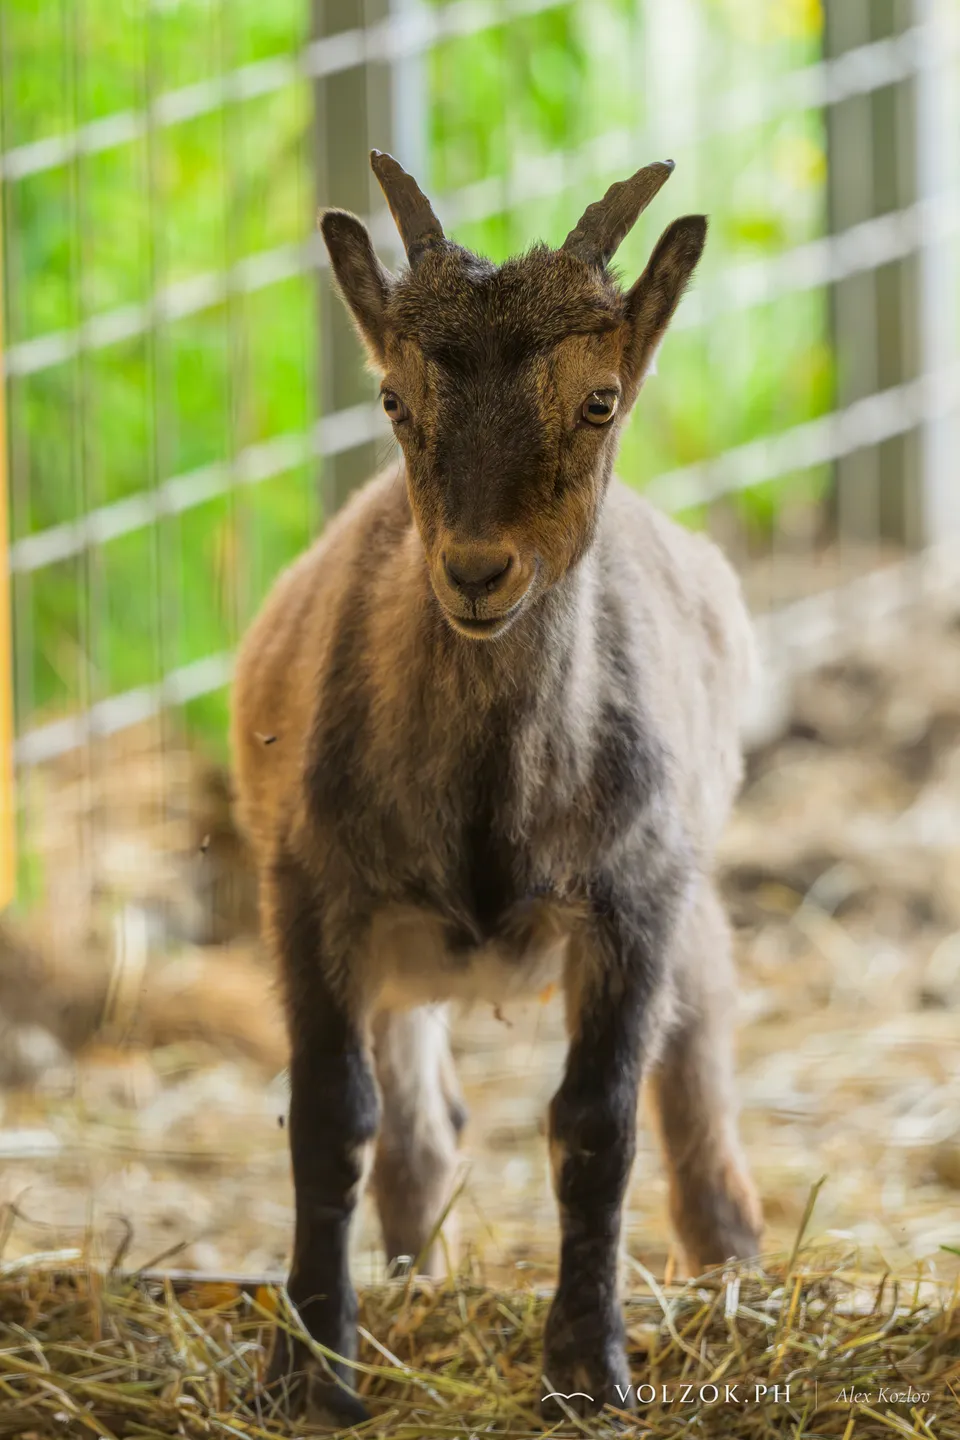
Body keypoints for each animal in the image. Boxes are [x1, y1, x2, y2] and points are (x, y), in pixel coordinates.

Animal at [230, 150, 763, 1425]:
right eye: (393, 400)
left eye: (600, 397)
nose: (477, 572)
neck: (487, 817)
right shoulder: (312, 887)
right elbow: (332, 1118)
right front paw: (313, 1367)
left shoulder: (634, 893)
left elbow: (596, 1123)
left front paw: (588, 1366)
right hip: (397, 954)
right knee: (423, 1125)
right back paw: (421, 1271)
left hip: (686, 877)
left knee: (701, 1041)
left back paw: (733, 1260)